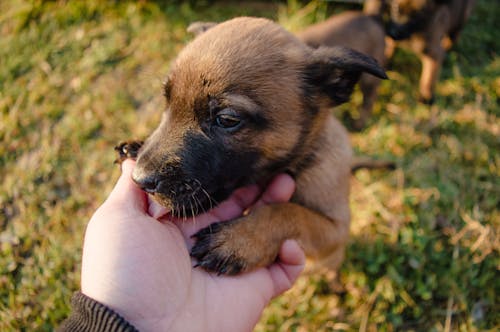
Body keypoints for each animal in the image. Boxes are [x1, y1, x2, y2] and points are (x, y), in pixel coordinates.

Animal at [116, 16, 386, 274]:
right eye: (168, 102)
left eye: (227, 120)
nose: (140, 180)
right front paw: (136, 145)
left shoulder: (336, 229)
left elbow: (287, 212)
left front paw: (237, 240)